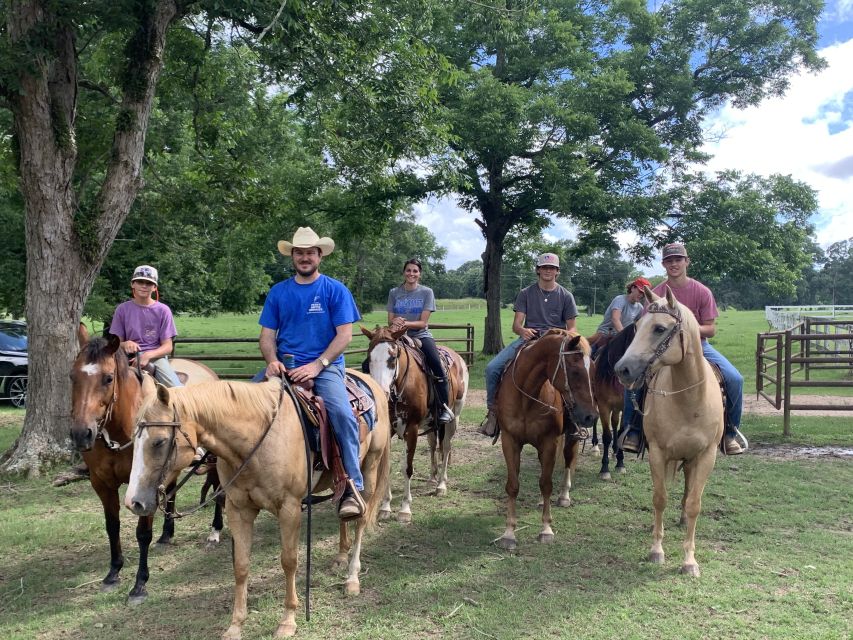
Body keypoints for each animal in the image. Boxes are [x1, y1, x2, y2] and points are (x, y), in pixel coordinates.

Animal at [69, 324, 221, 604]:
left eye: (108, 378)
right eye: (73, 376)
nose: (81, 434)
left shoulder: (145, 483)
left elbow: (142, 533)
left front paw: (140, 584)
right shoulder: (101, 483)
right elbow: (112, 526)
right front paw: (113, 573)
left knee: (219, 491)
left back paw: (216, 530)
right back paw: (167, 534)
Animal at [125, 376, 392, 640]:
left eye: (159, 441)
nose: (133, 502)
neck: (255, 443)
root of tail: (371, 383)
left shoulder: (289, 509)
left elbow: (289, 561)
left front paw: (288, 620)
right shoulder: (238, 510)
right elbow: (241, 565)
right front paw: (235, 625)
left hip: (370, 467)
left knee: (360, 519)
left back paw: (352, 578)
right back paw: (340, 556)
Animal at [358, 328, 470, 524]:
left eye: (393, 358)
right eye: (369, 358)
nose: (380, 393)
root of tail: (458, 357)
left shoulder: (411, 429)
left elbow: (407, 468)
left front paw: (404, 509)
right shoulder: (390, 430)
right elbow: (386, 468)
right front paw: (385, 507)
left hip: (454, 418)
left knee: (446, 447)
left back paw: (441, 485)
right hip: (431, 424)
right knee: (434, 444)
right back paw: (433, 477)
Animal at [492, 330, 600, 552]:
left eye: (593, 371)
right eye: (575, 371)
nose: (591, 417)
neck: (527, 397)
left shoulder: (549, 443)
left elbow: (546, 484)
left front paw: (546, 529)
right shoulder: (510, 441)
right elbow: (513, 485)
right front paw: (509, 533)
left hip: (570, 437)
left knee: (568, 460)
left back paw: (564, 496)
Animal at [616, 288, 724, 576]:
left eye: (659, 328)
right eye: (637, 326)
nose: (622, 369)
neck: (688, 400)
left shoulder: (706, 456)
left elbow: (695, 503)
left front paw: (689, 561)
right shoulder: (658, 453)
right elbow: (660, 498)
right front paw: (656, 550)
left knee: (688, 491)